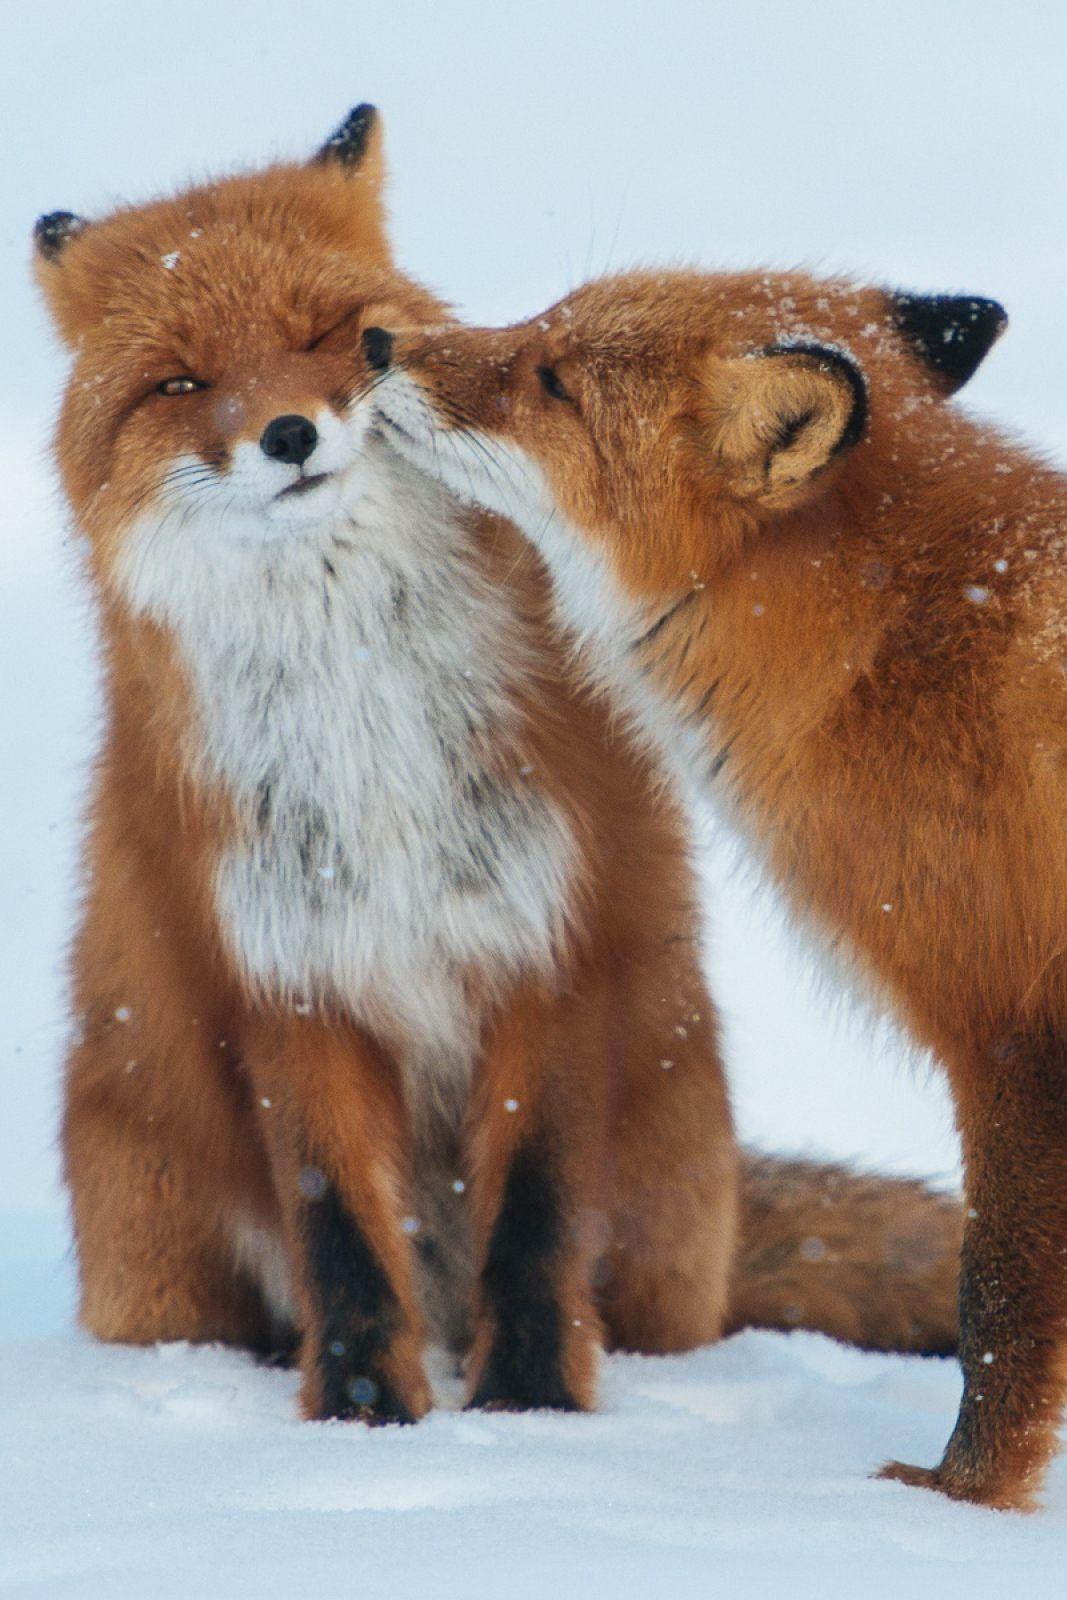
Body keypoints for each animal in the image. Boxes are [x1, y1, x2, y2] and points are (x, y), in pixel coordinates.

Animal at [36, 112, 962, 1430]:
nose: (287, 435)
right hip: (154, 1246)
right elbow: (340, 1230)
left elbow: (533, 1213)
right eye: (179, 382)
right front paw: (366, 1418)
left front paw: (528, 1413)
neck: (367, 720)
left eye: (324, 333)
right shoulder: (289, 979)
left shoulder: (551, 938)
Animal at [369, 266, 1067, 1505]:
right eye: (537, 322)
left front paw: (962, 1499)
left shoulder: (1008, 1031)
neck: (895, 645)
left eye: (551, 379)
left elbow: (995, 1310)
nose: (371, 343)